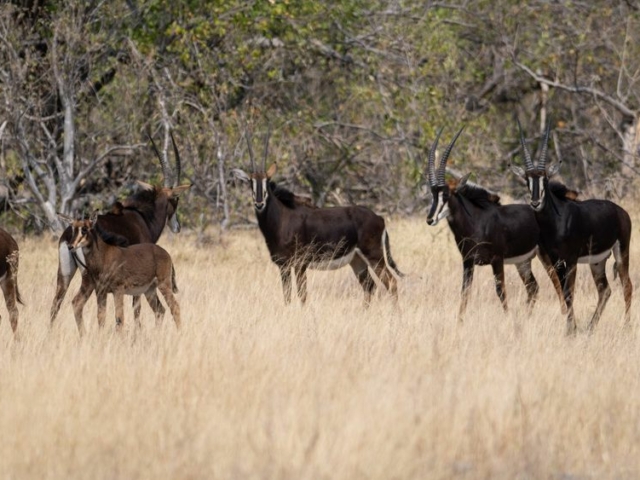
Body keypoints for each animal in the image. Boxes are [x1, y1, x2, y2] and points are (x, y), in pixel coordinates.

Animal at [50, 132, 191, 325]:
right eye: (176, 199)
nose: (177, 227)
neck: (142, 217)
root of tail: (67, 234)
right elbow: (136, 309)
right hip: (89, 278)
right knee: (77, 303)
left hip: (64, 274)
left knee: (56, 304)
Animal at [233, 131, 403, 305]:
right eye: (250, 181)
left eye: (267, 181)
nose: (259, 203)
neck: (281, 219)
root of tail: (379, 218)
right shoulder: (283, 265)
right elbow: (287, 296)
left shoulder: (300, 264)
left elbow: (302, 295)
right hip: (357, 260)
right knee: (370, 286)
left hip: (374, 256)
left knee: (391, 282)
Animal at [425, 127, 565, 321]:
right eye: (432, 194)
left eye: (446, 195)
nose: (430, 219)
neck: (475, 223)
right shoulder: (468, 261)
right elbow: (465, 292)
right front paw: (459, 322)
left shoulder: (497, 260)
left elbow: (500, 291)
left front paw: (507, 319)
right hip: (523, 262)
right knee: (533, 287)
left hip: (545, 255)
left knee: (557, 283)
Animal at [510, 120, 632, 335]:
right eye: (527, 179)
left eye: (545, 178)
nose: (535, 202)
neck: (555, 223)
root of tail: (622, 213)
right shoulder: (556, 260)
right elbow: (564, 293)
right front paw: (571, 328)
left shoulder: (571, 259)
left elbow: (569, 292)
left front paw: (570, 331)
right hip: (597, 261)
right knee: (605, 290)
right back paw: (590, 327)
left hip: (621, 252)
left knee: (627, 286)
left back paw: (625, 327)